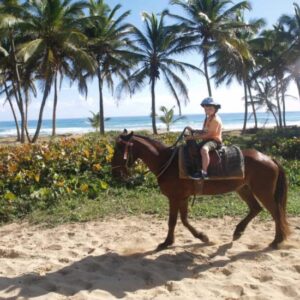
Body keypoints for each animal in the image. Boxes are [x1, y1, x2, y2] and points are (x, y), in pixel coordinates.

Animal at [111, 130, 290, 250]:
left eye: (119, 149)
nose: (115, 173)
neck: (167, 162)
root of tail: (269, 158)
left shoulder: (174, 198)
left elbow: (173, 221)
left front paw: (167, 242)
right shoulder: (182, 197)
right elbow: (183, 220)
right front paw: (201, 237)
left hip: (263, 191)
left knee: (276, 213)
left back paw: (277, 240)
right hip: (243, 189)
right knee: (256, 208)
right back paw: (238, 231)